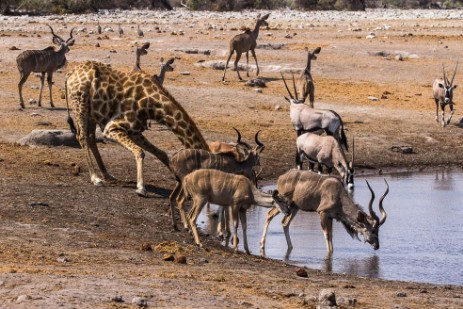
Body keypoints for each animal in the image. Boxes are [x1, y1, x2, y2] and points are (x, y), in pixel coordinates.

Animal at [65, 60, 208, 195]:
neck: (153, 106)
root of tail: (70, 74)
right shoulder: (112, 128)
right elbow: (140, 152)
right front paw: (140, 188)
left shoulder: (135, 131)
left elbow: (160, 153)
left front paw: (179, 179)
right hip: (80, 105)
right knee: (82, 137)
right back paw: (95, 178)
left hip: (93, 114)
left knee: (90, 138)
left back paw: (107, 174)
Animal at [260, 168, 390, 255]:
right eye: (373, 230)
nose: (377, 246)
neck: (339, 196)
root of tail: (281, 177)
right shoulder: (322, 213)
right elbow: (327, 235)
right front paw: (329, 254)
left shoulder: (331, 217)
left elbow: (331, 235)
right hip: (282, 203)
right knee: (269, 214)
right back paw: (262, 245)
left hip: (294, 207)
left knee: (285, 223)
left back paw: (290, 247)